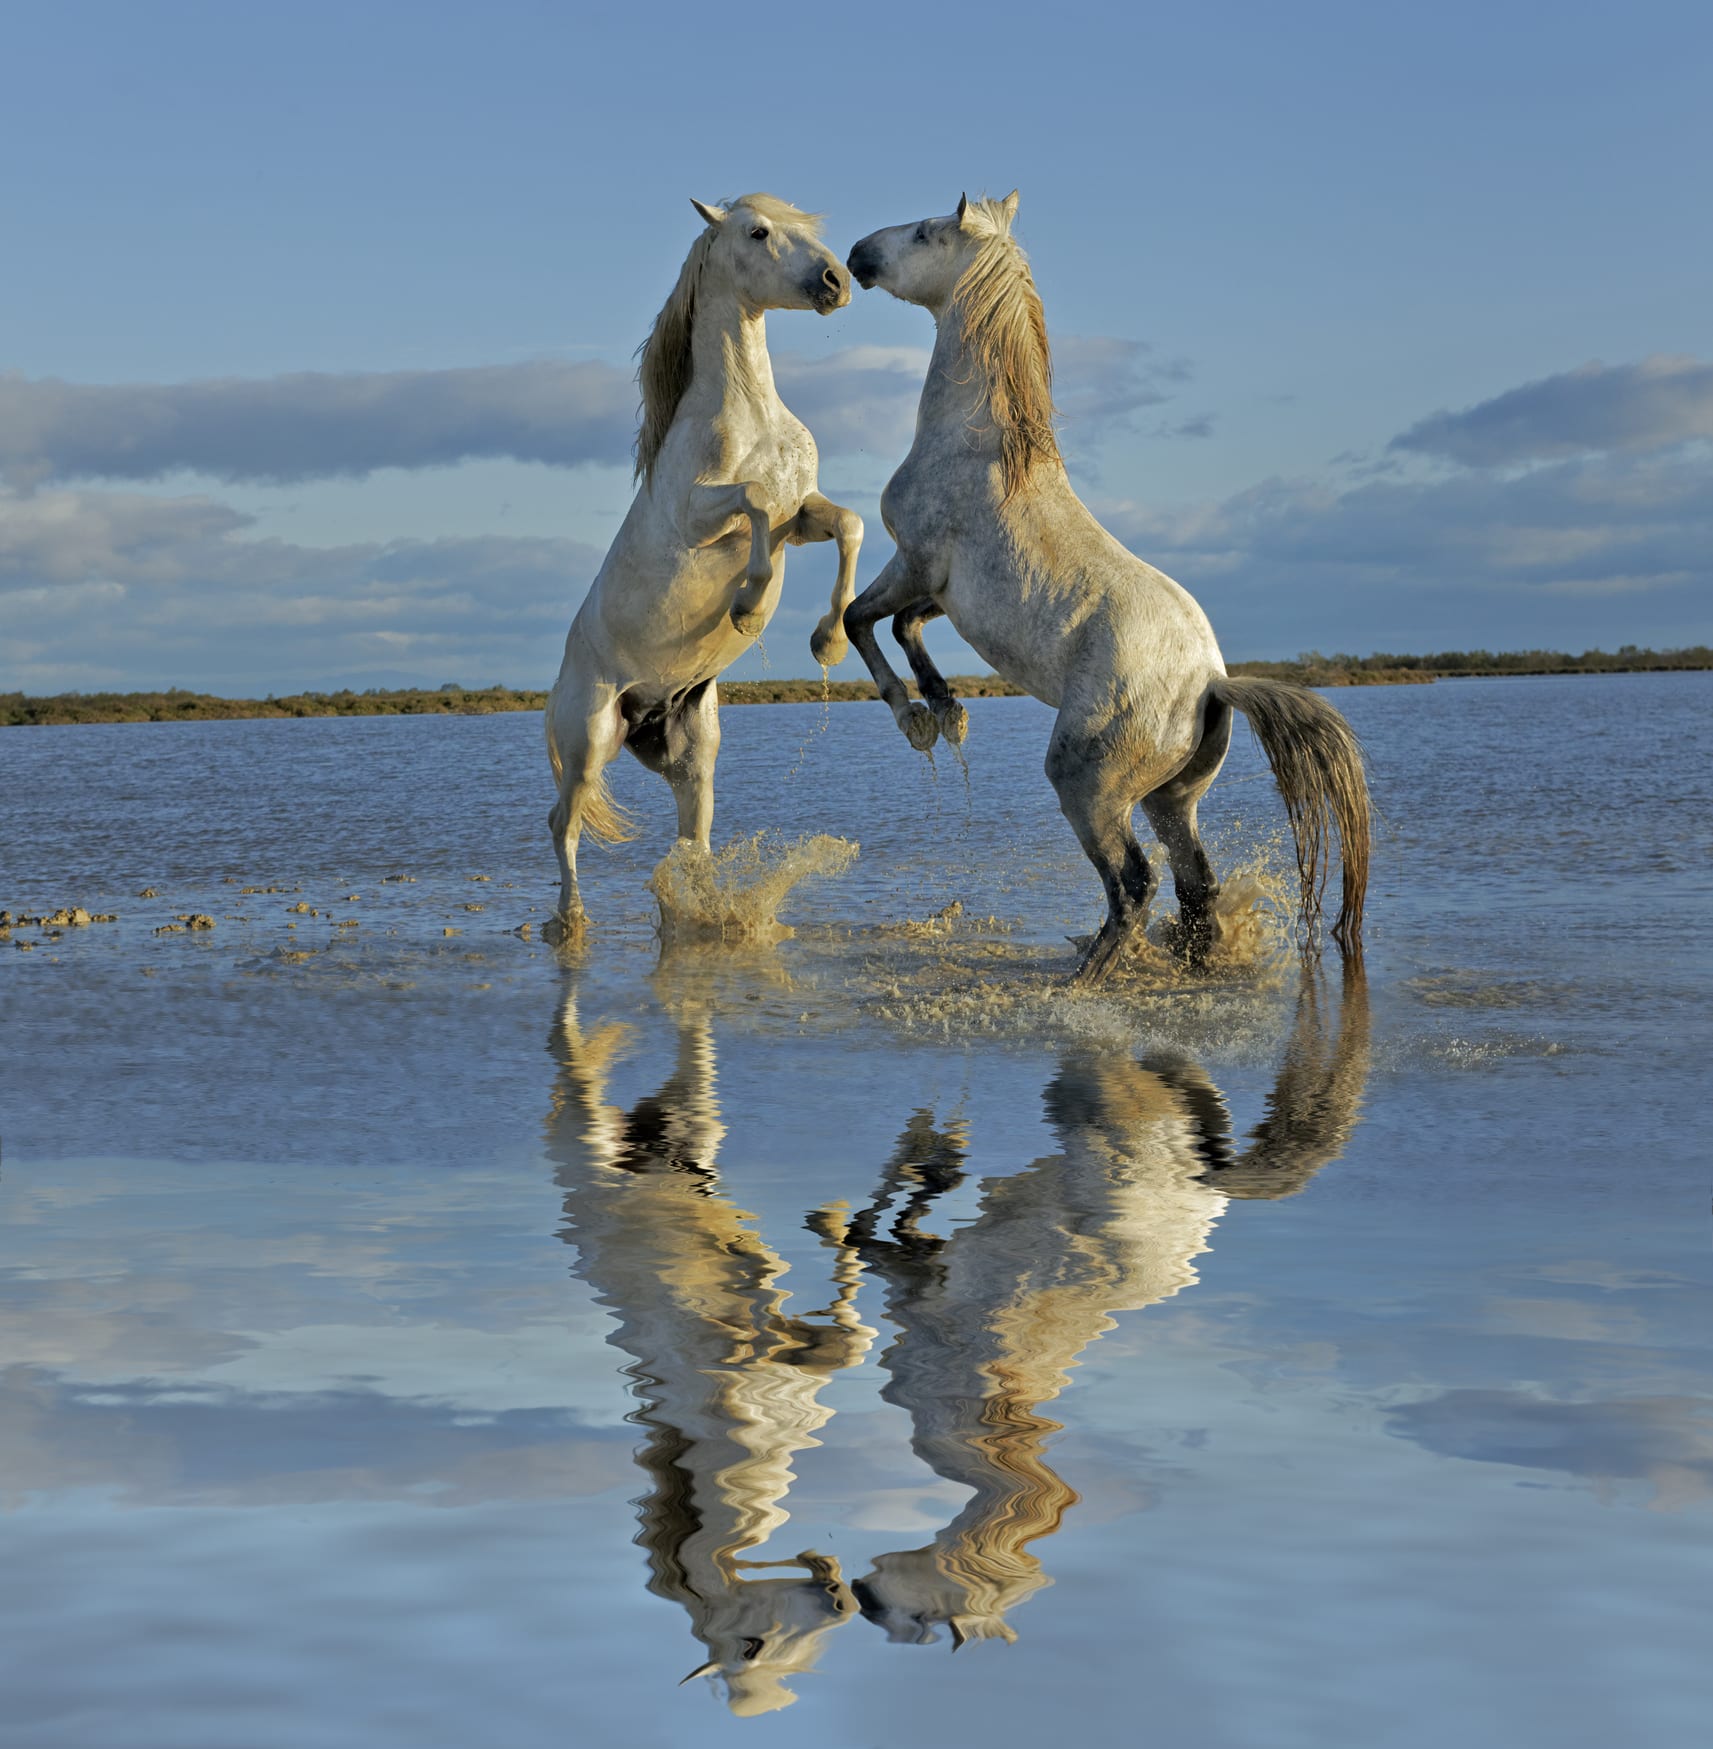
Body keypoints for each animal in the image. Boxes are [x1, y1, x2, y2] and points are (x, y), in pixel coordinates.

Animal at [549, 196, 864, 937]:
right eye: (758, 231)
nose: (836, 281)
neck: (752, 420)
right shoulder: (703, 516)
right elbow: (753, 503)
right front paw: (749, 604)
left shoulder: (803, 513)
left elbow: (848, 522)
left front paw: (829, 639)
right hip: (589, 743)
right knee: (563, 824)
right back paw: (570, 918)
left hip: (694, 761)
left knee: (690, 842)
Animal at [836, 195, 1371, 986]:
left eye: (927, 232)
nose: (856, 256)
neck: (977, 447)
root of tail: (1211, 681)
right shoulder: (944, 592)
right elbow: (904, 626)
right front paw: (946, 710)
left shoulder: (915, 562)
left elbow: (858, 619)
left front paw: (918, 720)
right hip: (1168, 798)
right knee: (1193, 884)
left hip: (1085, 783)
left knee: (1135, 883)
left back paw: (1083, 980)